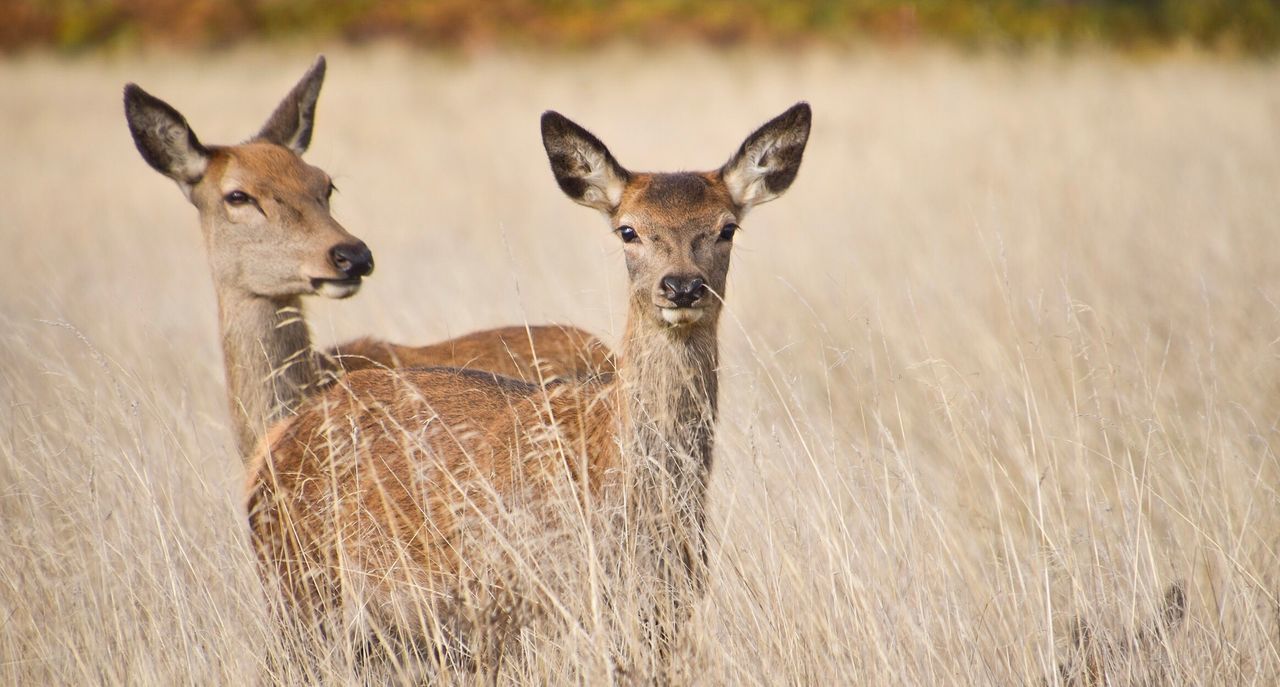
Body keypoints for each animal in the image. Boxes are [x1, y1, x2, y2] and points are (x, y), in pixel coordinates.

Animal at [247, 101, 808, 675]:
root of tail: (273, 445)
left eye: (727, 228)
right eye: (628, 231)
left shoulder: (665, 614)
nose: (682, 286)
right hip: (303, 592)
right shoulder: (528, 613)